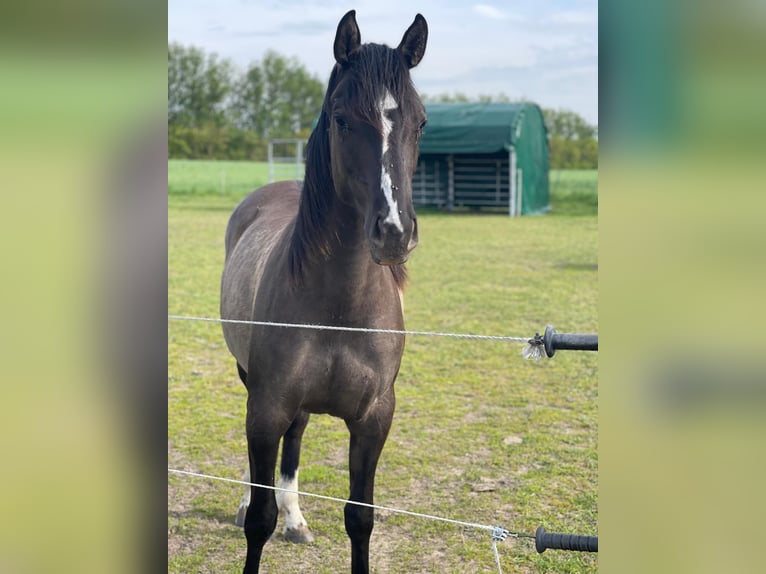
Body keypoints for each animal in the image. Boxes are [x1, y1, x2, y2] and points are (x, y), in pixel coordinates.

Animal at [219, 10, 428, 573]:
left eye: (421, 122)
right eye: (341, 119)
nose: (393, 232)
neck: (340, 306)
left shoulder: (375, 419)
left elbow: (360, 518)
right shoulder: (266, 407)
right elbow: (258, 520)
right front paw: (256, 509)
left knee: (295, 444)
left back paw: (296, 519)